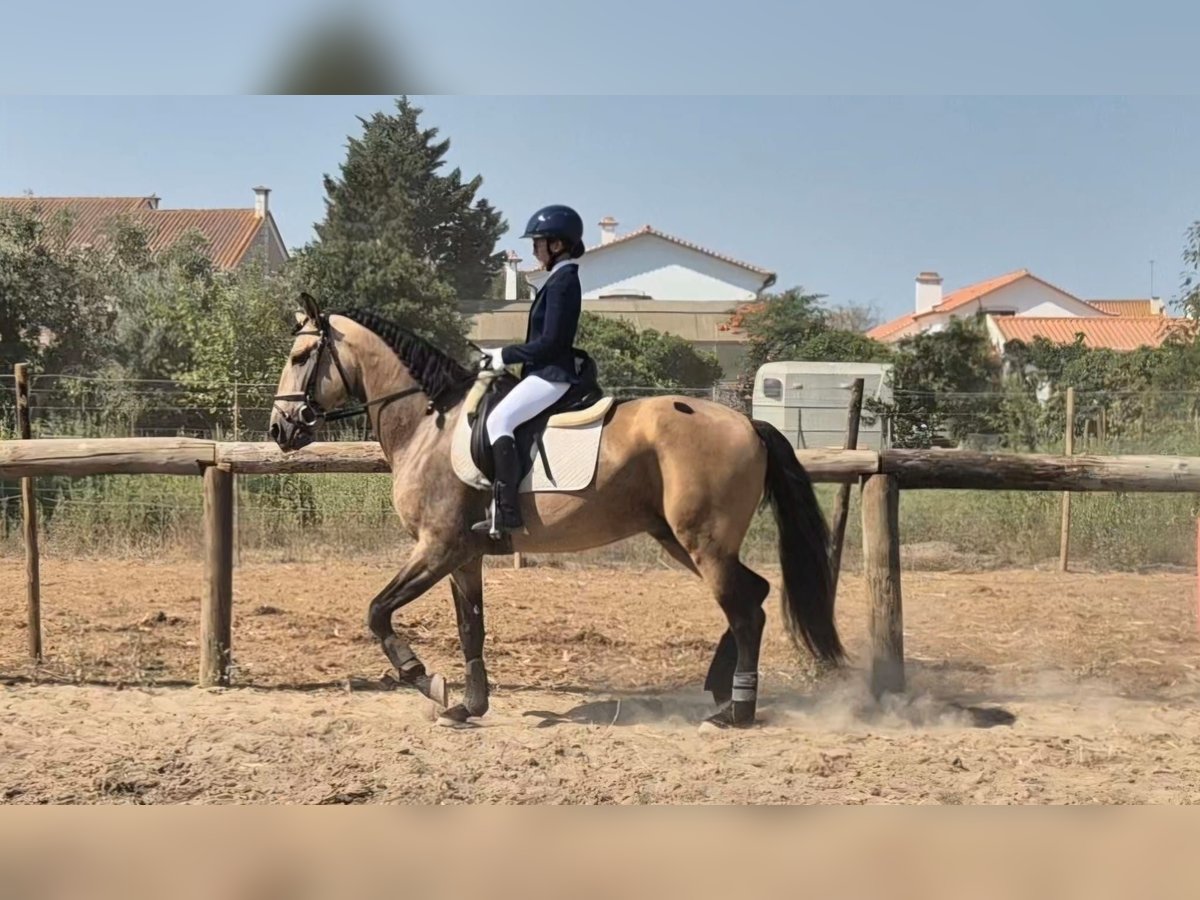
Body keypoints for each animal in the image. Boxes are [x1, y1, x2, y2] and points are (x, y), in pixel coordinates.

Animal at [268, 293, 843, 729]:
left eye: (299, 358)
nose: (279, 429)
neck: (429, 423)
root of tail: (749, 425)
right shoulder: (463, 555)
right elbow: (470, 627)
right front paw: (467, 706)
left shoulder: (437, 546)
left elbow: (377, 610)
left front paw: (424, 679)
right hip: (681, 540)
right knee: (754, 594)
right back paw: (721, 689)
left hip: (703, 542)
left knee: (745, 610)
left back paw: (735, 711)